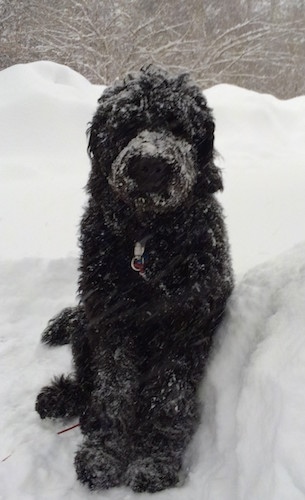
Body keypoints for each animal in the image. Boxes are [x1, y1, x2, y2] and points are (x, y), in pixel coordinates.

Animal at [35, 66, 233, 492]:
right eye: (127, 126)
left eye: (177, 126)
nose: (150, 165)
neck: (147, 241)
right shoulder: (111, 323)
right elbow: (112, 392)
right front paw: (103, 455)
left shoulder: (183, 327)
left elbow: (168, 398)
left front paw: (154, 460)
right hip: (86, 326)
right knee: (86, 381)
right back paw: (63, 397)